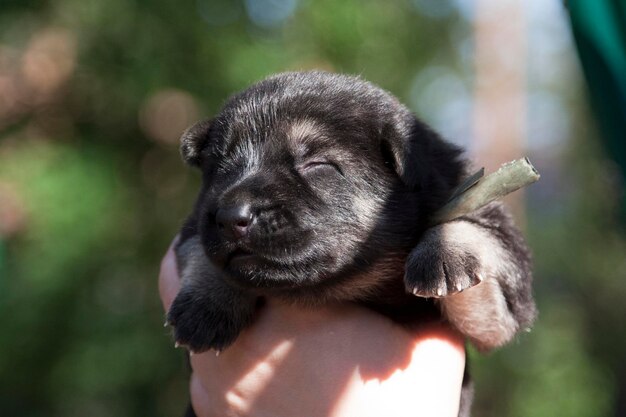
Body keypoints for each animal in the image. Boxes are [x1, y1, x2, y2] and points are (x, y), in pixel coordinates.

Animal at [167, 70, 536, 414]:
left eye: (317, 164)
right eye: (222, 168)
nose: (232, 216)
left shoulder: (500, 309)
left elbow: (475, 227)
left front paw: (444, 252)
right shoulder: (195, 224)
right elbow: (199, 249)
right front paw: (207, 301)